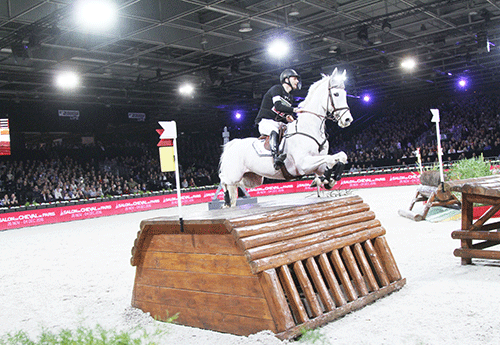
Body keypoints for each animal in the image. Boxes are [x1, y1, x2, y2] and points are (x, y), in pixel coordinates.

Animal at [219, 68, 352, 206]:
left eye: (345, 94)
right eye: (336, 94)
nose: (348, 120)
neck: (310, 128)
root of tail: (232, 144)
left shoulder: (317, 165)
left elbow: (340, 156)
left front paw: (328, 180)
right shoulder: (303, 164)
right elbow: (330, 159)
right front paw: (326, 179)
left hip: (252, 179)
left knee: (236, 187)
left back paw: (228, 202)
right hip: (234, 174)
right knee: (223, 179)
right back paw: (225, 198)